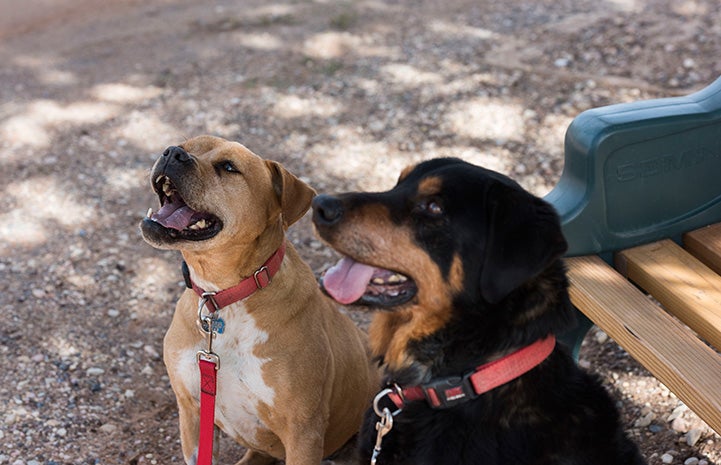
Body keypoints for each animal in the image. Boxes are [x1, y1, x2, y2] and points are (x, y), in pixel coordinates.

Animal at [139, 135, 376, 464]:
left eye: (228, 167)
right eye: (184, 144)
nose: (172, 153)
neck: (224, 297)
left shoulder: (303, 433)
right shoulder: (191, 412)